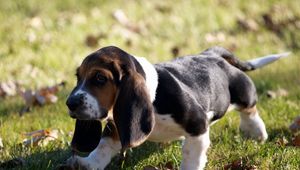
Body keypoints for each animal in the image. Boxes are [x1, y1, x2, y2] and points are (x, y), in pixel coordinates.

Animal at [65, 45, 288, 169]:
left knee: (249, 109)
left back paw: (256, 131)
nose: (70, 103)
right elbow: (102, 147)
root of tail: (210, 54)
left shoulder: (198, 126)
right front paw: (88, 164)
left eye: (100, 78)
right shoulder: (117, 126)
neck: (153, 97)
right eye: (78, 77)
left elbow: (191, 157)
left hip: (242, 92)